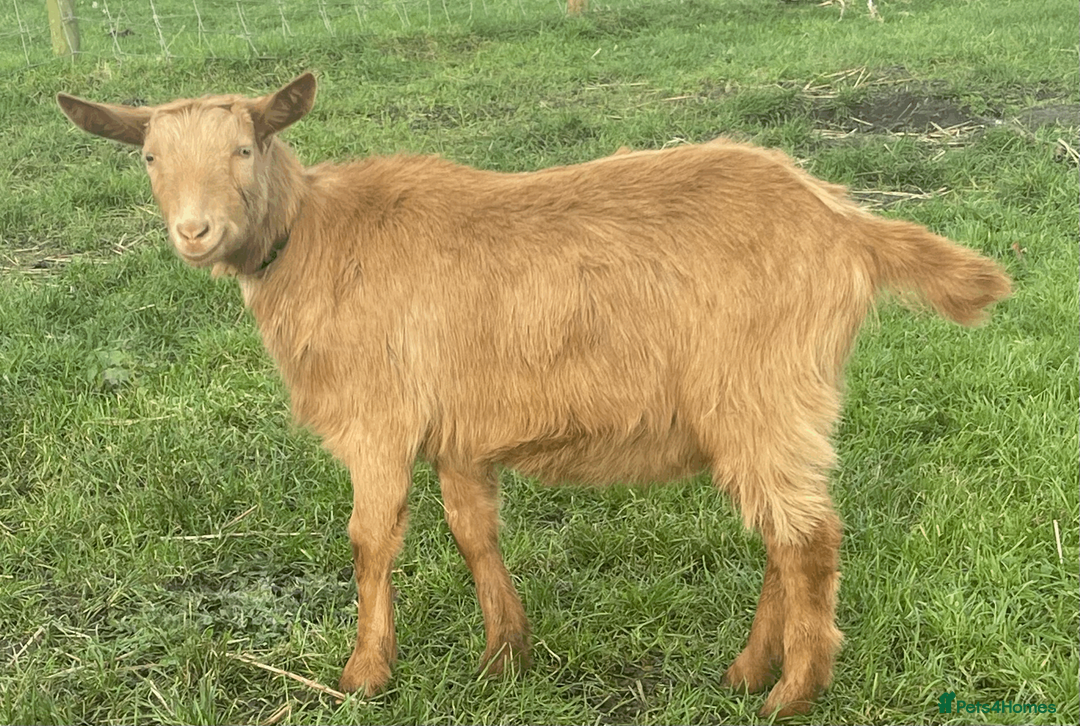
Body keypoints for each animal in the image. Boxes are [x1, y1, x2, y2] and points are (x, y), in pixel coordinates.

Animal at [57, 73, 1010, 717]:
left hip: (764, 391)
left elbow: (371, 539)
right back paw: (748, 673)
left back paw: (793, 694)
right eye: (150, 158)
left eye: (244, 149)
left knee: (808, 537)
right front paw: (504, 655)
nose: (195, 231)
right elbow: (473, 532)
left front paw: (364, 675)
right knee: (786, 531)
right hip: (766, 407)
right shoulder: (458, 428)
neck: (317, 239)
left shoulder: (380, 418)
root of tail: (848, 224)